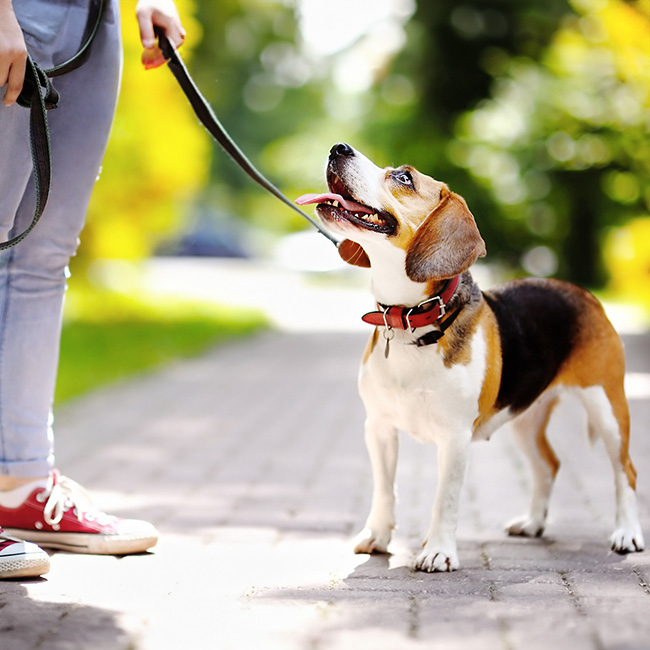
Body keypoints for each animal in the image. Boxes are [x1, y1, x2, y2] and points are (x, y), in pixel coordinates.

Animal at [294, 143, 644, 572]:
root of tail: (582, 292)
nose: (338, 148)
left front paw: (438, 551)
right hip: (524, 417)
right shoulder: (378, 428)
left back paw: (627, 533)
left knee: (626, 470)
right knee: (548, 466)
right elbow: (384, 489)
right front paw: (377, 536)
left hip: (607, 407)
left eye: (404, 177)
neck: (411, 320)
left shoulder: (455, 437)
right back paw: (533, 523)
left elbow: (445, 499)